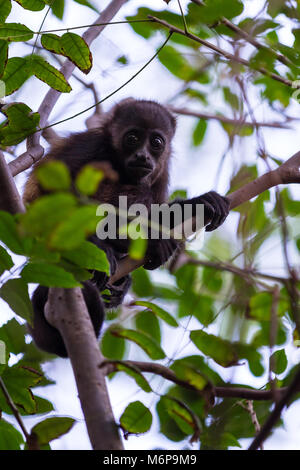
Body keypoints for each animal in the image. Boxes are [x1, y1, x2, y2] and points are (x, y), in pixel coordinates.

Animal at [23, 98, 230, 356]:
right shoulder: (89, 145)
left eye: (156, 142)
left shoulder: (162, 172)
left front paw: (199, 203)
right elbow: (49, 192)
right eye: (132, 138)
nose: (142, 155)